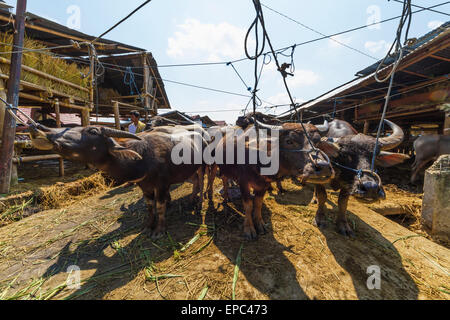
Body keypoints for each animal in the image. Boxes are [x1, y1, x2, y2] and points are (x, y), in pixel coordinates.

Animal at [28, 124, 204, 239]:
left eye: (93, 131)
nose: (41, 128)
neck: (142, 157)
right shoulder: (145, 187)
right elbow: (149, 206)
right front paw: (148, 226)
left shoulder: (161, 185)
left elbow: (160, 207)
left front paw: (159, 230)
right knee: (195, 181)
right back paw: (191, 199)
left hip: (203, 166)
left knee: (201, 182)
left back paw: (198, 201)